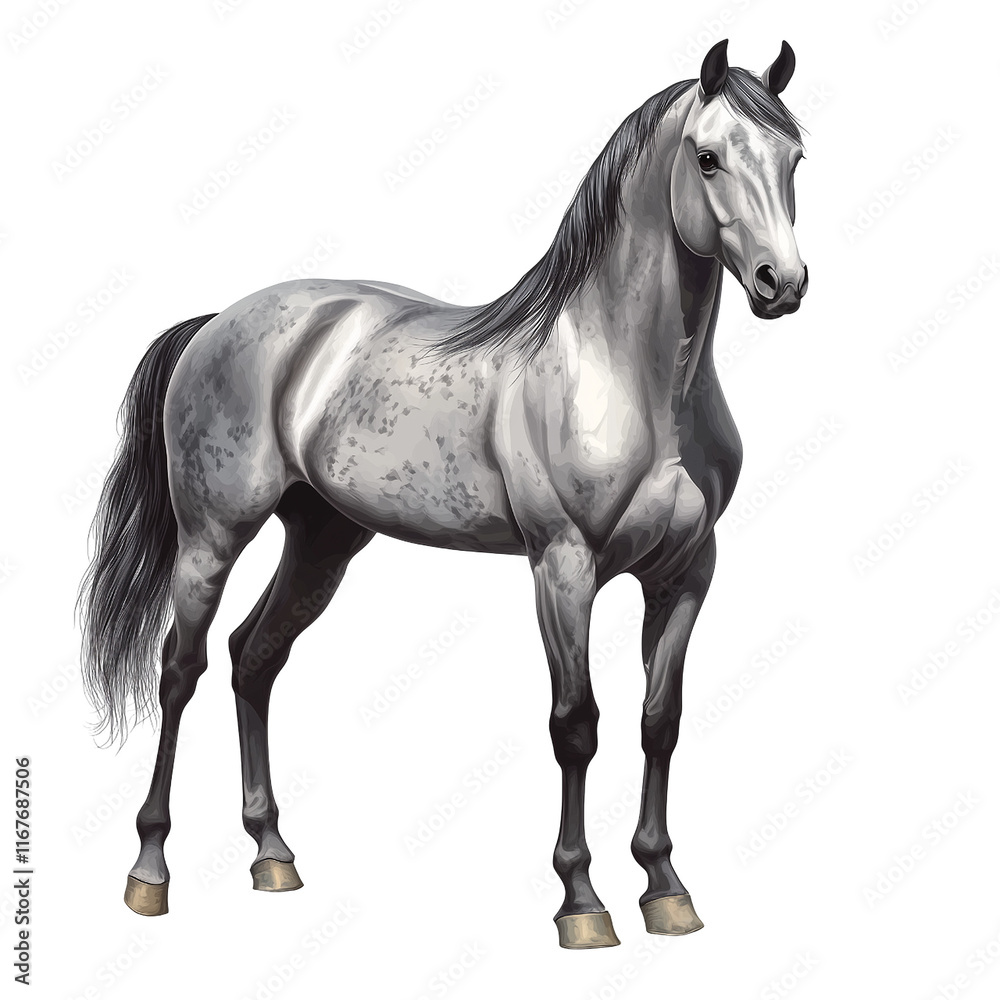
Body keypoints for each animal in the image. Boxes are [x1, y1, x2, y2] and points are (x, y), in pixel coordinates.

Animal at [79, 38, 807, 948]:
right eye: (707, 157)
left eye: (794, 157)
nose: (783, 283)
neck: (628, 378)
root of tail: (217, 323)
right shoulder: (563, 569)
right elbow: (577, 725)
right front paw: (582, 902)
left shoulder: (686, 576)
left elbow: (658, 722)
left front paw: (666, 888)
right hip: (213, 534)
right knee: (182, 668)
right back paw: (149, 872)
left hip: (322, 542)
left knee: (254, 658)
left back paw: (272, 855)